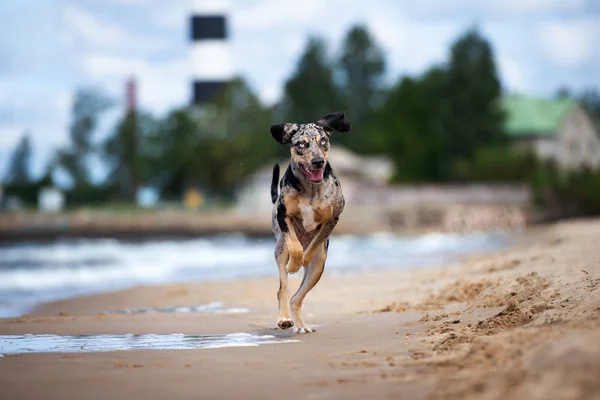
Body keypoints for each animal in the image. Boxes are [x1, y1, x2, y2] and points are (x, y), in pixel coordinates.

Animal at [268, 111, 350, 332]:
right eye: (301, 144)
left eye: (323, 141)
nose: (318, 161)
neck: (310, 189)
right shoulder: (283, 215)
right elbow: (295, 246)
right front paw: (294, 264)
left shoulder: (333, 218)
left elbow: (314, 244)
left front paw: (304, 258)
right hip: (280, 248)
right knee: (283, 290)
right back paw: (285, 319)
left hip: (318, 267)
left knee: (297, 298)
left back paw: (301, 325)